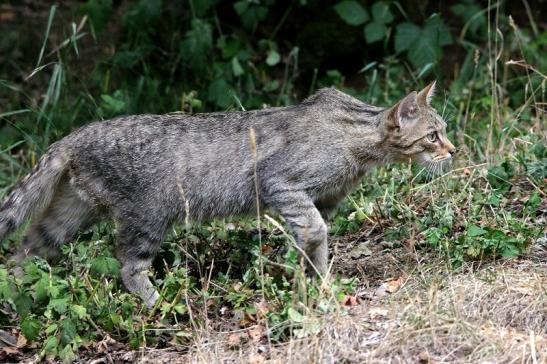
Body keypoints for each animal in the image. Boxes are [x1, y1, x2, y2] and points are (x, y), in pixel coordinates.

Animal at [0, 82, 454, 308]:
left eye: (445, 129)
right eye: (433, 135)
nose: (453, 149)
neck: (358, 140)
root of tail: (74, 135)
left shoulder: (323, 201)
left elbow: (311, 244)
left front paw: (315, 283)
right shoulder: (280, 185)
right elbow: (316, 233)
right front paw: (319, 286)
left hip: (70, 214)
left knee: (24, 250)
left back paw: (15, 296)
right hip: (148, 216)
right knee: (129, 268)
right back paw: (160, 304)